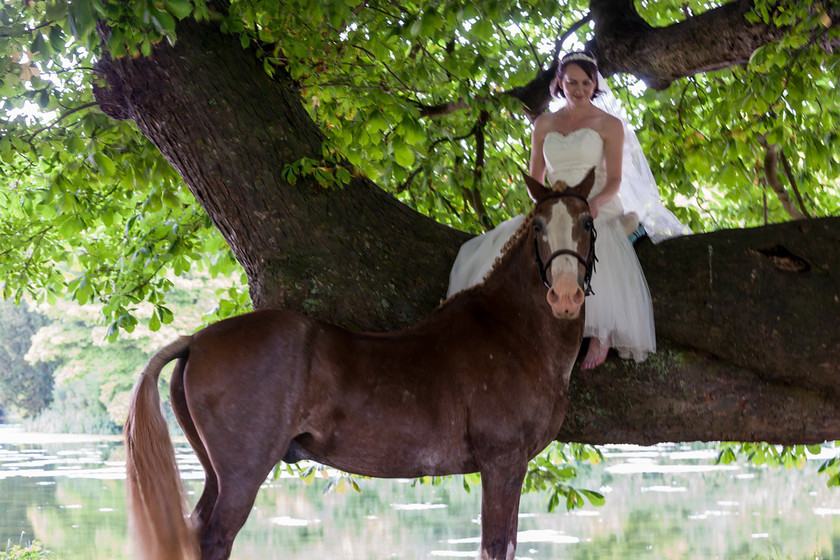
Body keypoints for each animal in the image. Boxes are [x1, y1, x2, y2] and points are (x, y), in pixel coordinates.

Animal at [123, 171, 596, 560]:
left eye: (587, 223)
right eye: (538, 226)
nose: (565, 296)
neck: (510, 330)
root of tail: (196, 341)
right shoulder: (503, 463)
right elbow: (497, 547)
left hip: (213, 474)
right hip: (241, 477)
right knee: (216, 537)